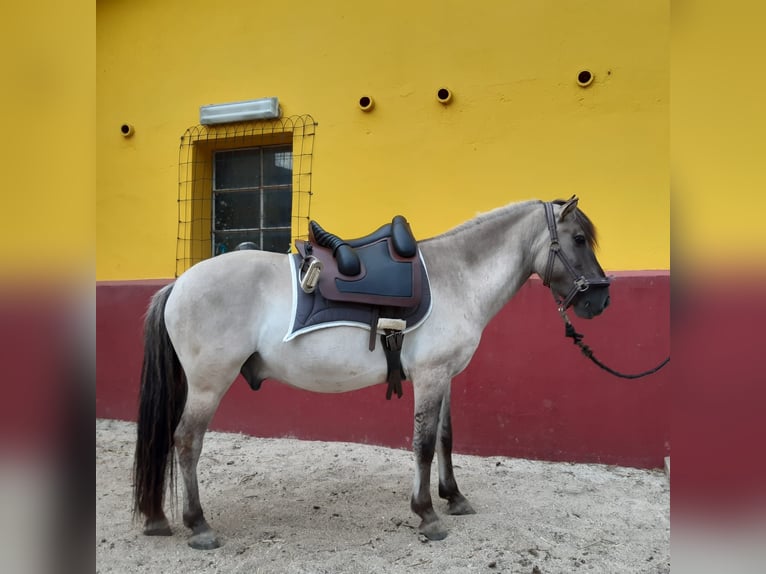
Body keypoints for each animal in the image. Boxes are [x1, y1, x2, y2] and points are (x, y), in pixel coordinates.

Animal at [133, 196, 611, 550]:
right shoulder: (432, 376)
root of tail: (179, 283)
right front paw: (427, 514)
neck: (456, 276)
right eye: (579, 238)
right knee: (186, 441)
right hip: (208, 385)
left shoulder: (444, 377)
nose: (600, 300)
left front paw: (454, 497)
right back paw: (198, 525)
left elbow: (445, 438)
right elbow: (422, 445)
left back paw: (158, 518)